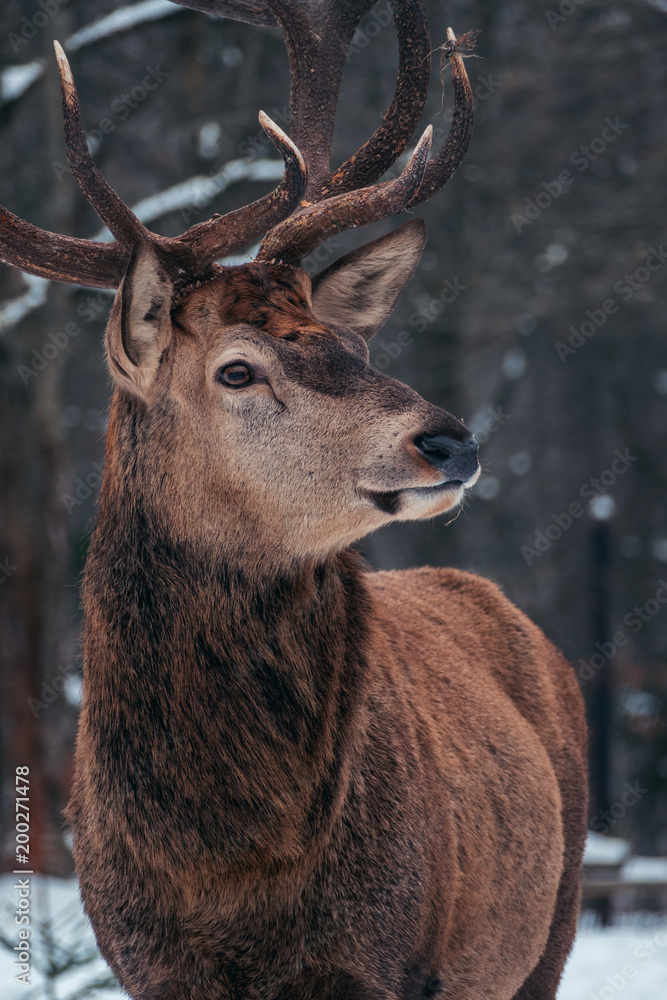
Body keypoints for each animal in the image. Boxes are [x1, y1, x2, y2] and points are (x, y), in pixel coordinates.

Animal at [0, 1, 588, 998]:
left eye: (351, 348)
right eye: (237, 369)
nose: (450, 440)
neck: (229, 868)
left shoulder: (393, 962)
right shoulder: (144, 964)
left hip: (556, 919)